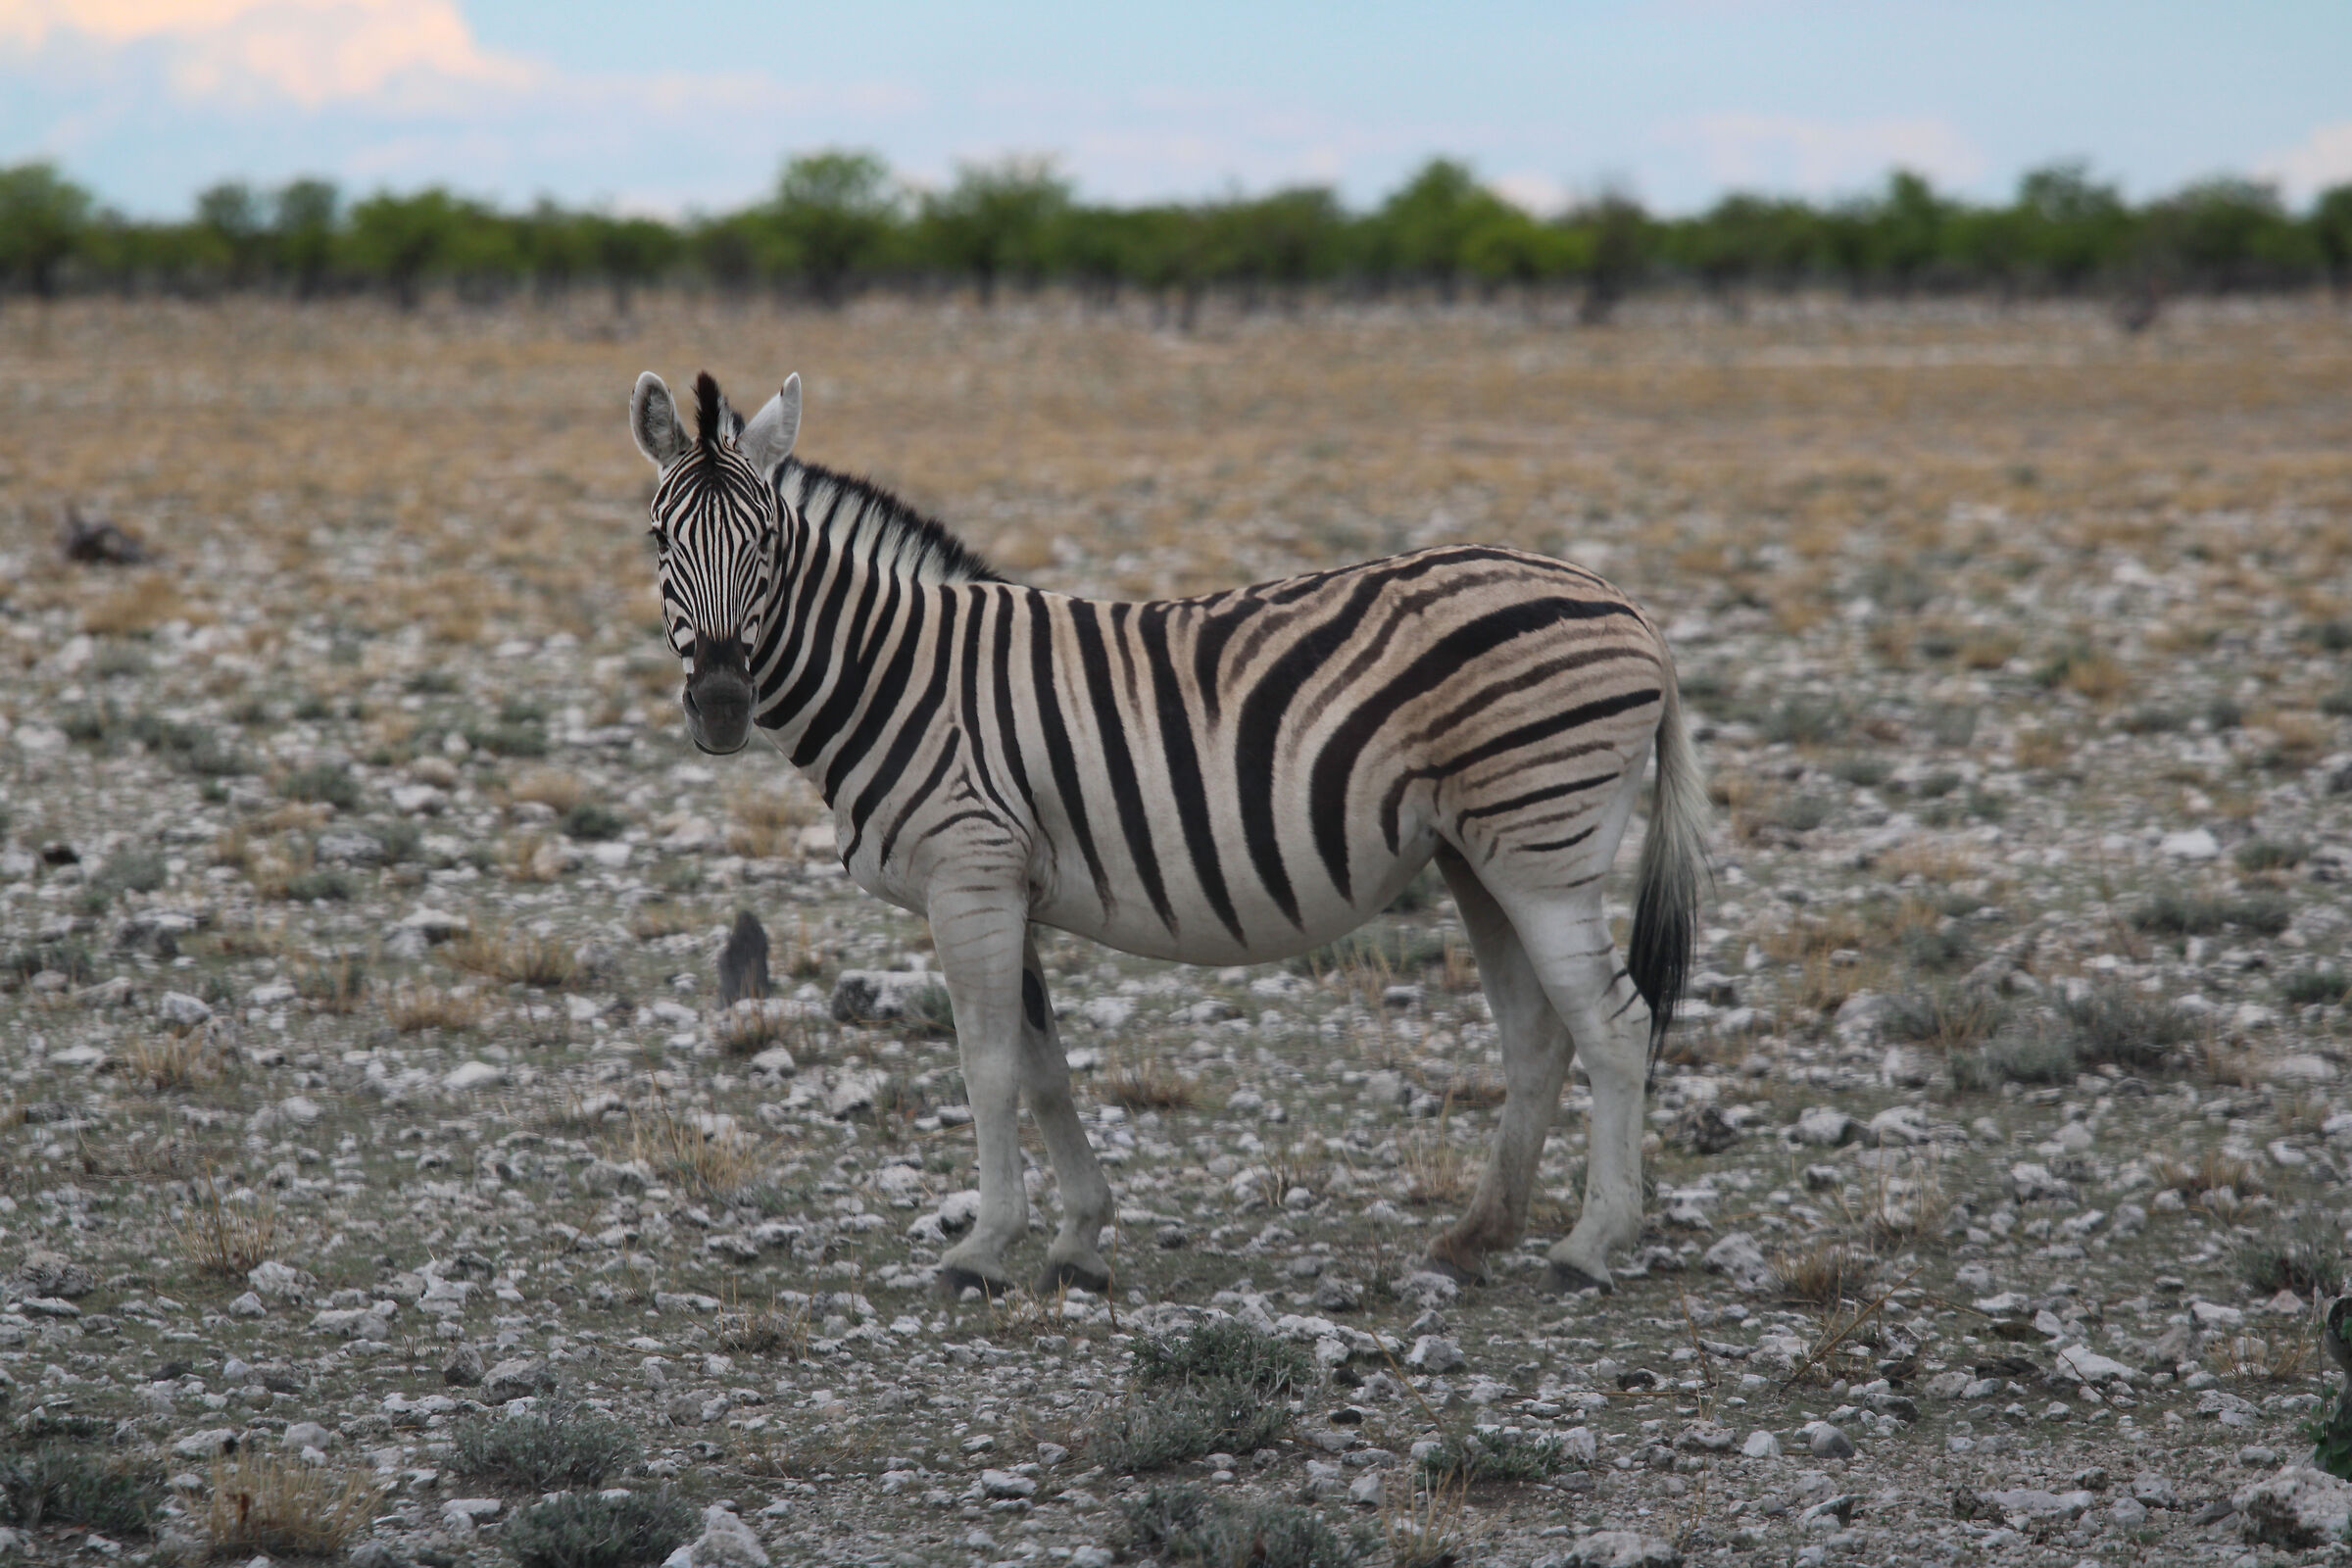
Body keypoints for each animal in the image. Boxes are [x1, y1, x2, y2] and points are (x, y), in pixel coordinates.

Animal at [629, 368, 1708, 1299]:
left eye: (767, 544)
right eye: (658, 543)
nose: (721, 705)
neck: (894, 674)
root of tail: (1633, 610)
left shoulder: (968, 874)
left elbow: (987, 1065)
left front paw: (982, 1247)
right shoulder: (1007, 880)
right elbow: (1044, 1067)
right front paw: (1077, 1240)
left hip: (1544, 850)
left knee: (1615, 1027)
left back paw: (1590, 1244)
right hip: (1477, 855)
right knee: (1537, 1033)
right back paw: (1475, 1236)